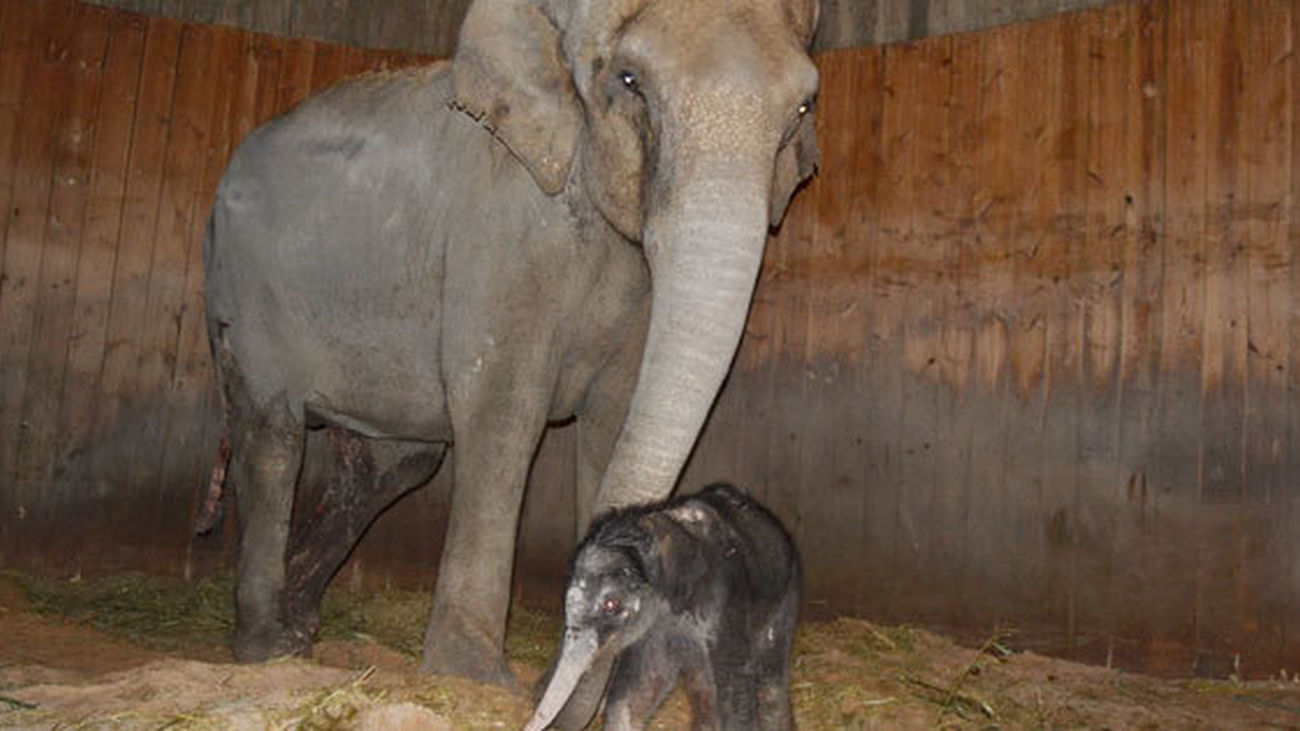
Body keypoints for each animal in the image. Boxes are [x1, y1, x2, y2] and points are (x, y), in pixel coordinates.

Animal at [202, 0, 820, 685]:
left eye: (802, 108)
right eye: (629, 80)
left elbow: (614, 419)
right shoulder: (500, 232)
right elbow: (503, 414)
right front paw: (472, 675)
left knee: (390, 465)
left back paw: (301, 630)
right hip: (246, 293)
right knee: (274, 440)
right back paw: (267, 649)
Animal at [526, 483, 802, 731]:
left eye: (611, 604)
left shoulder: (725, 603)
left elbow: (733, 689)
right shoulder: (657, 623)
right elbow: (641, 688)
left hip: (786, 597)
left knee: (770, 678)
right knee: (703, 684)